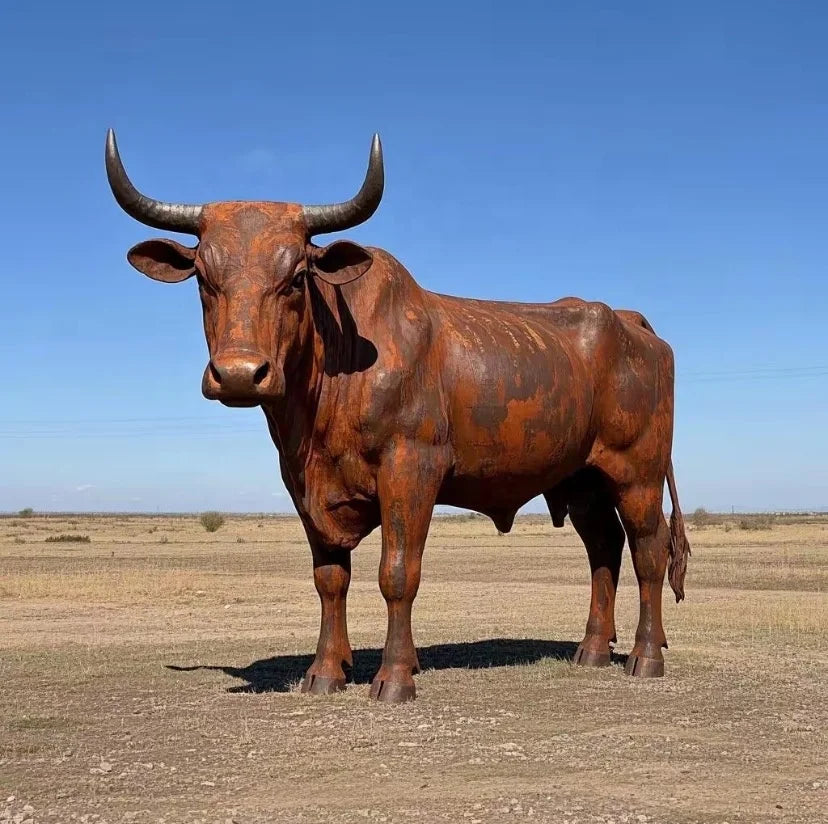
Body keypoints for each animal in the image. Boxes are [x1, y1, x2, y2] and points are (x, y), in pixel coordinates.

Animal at [105, 129, 690, 702]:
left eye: (295, 276)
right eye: (204, 277)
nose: (240, 374)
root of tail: (629, 322)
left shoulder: (411, 469)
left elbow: (398, 572)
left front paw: (394, 676)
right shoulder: (303, 485)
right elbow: (330, 578)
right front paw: (325, 672)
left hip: (637, 474)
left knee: (647, 550)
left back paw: (645, 657)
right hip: (583, 479)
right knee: (603, 548)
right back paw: (591, 649)